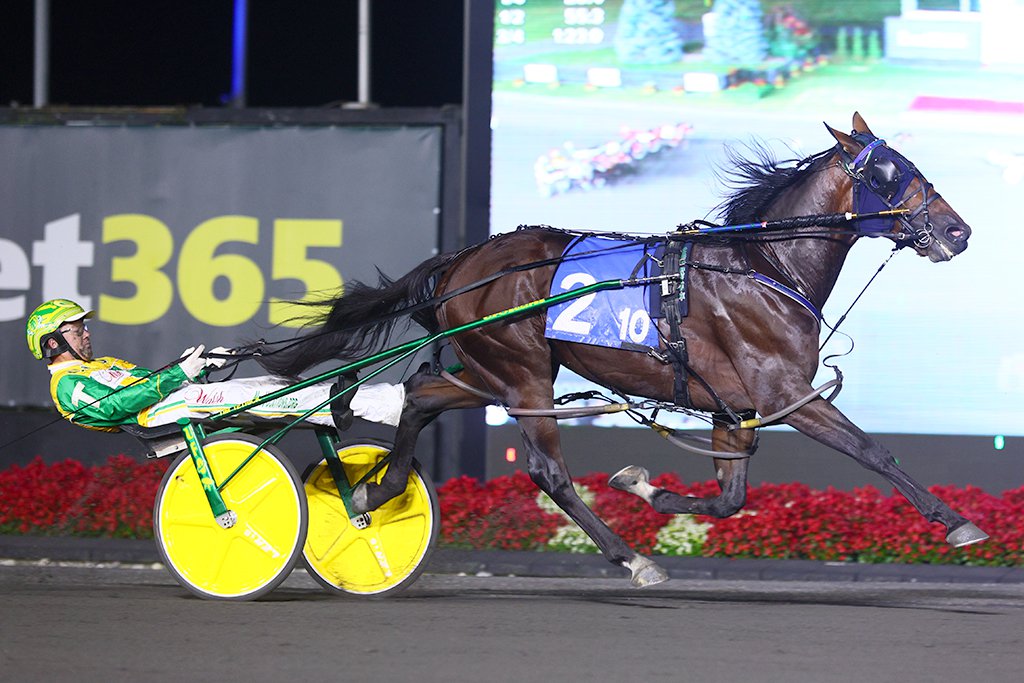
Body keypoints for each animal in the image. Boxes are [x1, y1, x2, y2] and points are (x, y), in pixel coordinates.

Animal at [260, 114, 987, 585]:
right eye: (890, 172)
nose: (960, 230)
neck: (765, 264)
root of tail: (461, 261)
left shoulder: (733, 408)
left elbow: (729, 499)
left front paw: (646, 487)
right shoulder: (786, 393)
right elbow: (872, 450)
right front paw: (957, 522)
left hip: (487, 369)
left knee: (421, 393)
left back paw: (374, 490)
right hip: (523, 374)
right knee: (546, 471)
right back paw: (631, 557)